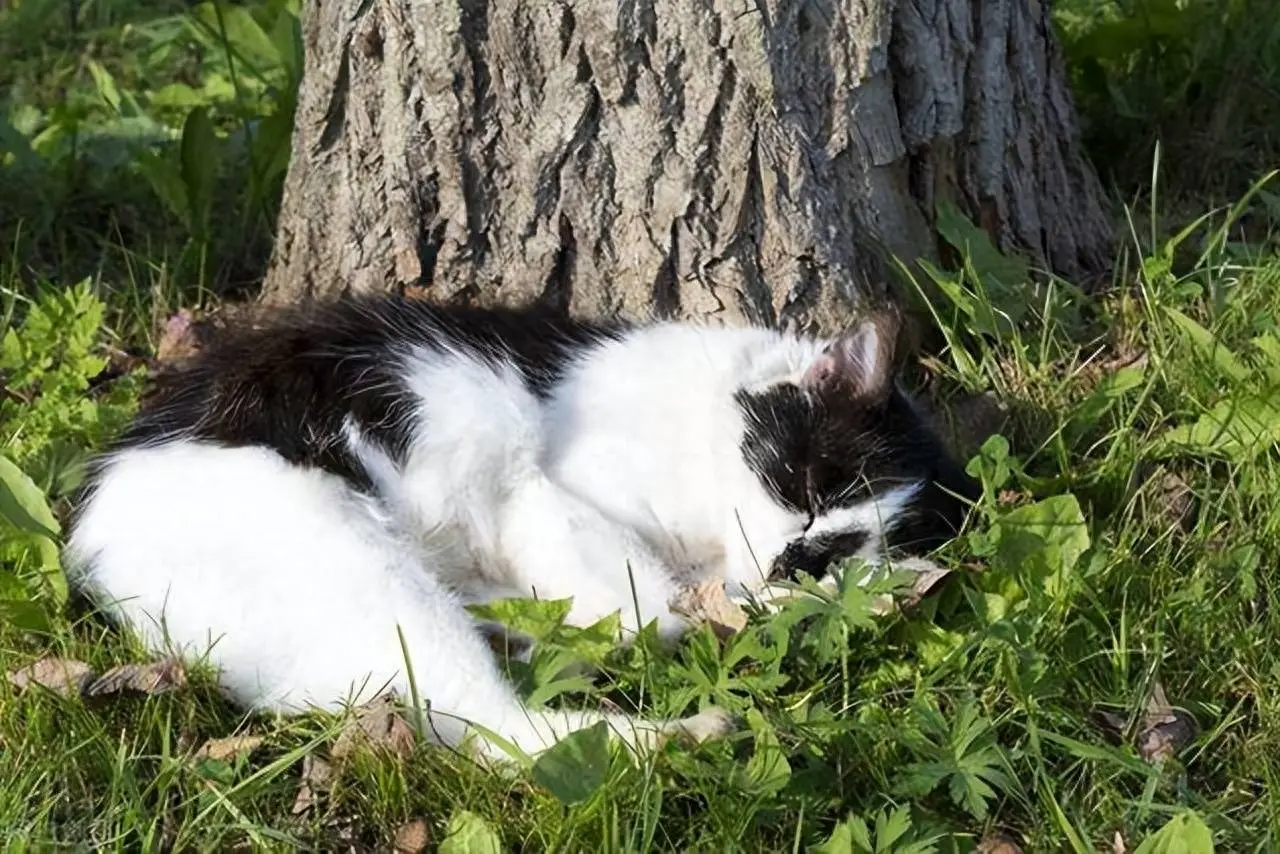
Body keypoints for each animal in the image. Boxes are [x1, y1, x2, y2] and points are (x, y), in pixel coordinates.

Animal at [64, 299, 972, 763]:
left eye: (847, 552)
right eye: (808, 486)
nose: (794, 556)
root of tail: (94, 537)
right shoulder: (549, 488)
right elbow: (657, 604)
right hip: (366, 576)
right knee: (500, 732)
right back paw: (690, 732)